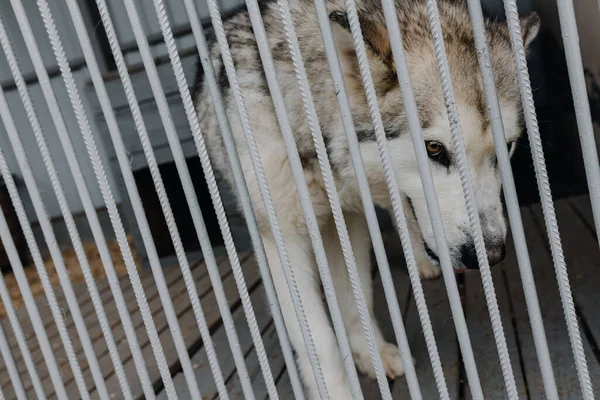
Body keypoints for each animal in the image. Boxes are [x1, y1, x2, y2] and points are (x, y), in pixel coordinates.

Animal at [195, 0, 540, 396]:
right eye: (434, 148)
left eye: (506, 148)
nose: (491, 255)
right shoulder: (284, 236)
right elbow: (320, 340)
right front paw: (336, 390)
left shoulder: (348, 220)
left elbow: (356, 299)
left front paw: (370, 353)